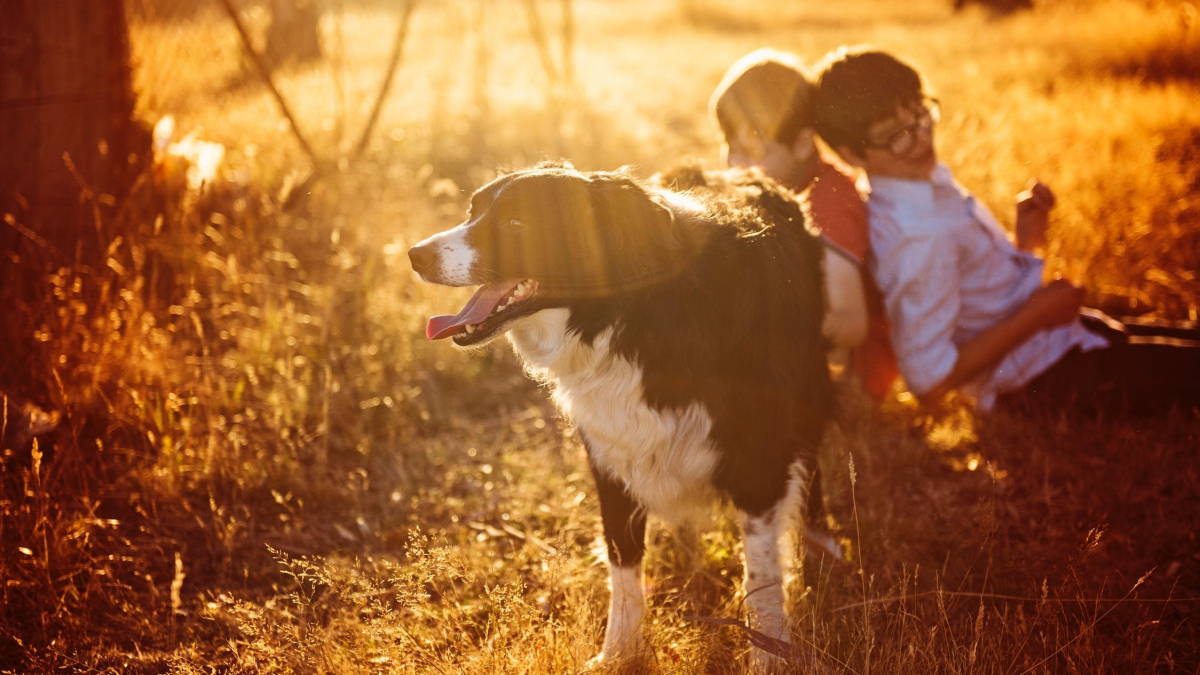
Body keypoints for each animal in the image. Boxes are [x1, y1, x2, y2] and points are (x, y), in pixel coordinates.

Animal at [408, 164, 830, 667]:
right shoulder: (611, 455)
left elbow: (761, 577)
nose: (415, 255)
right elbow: (623, 567)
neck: (631, 316)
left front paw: (769, 656)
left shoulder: (758, 459)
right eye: (472, 211)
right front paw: (618, 654)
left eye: (516, 224)